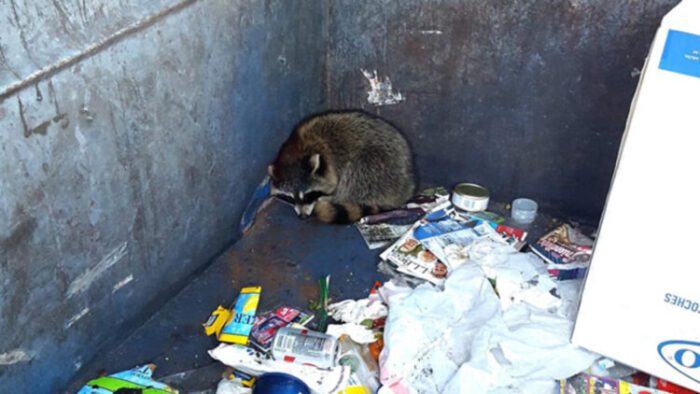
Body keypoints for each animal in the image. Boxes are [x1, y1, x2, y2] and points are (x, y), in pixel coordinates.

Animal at [268, 110, 416, 225]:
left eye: (308, 196)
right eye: (291, 198)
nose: (302, 217)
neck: (299, 148)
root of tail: (408, 189)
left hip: (379, 167)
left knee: (355, 173)